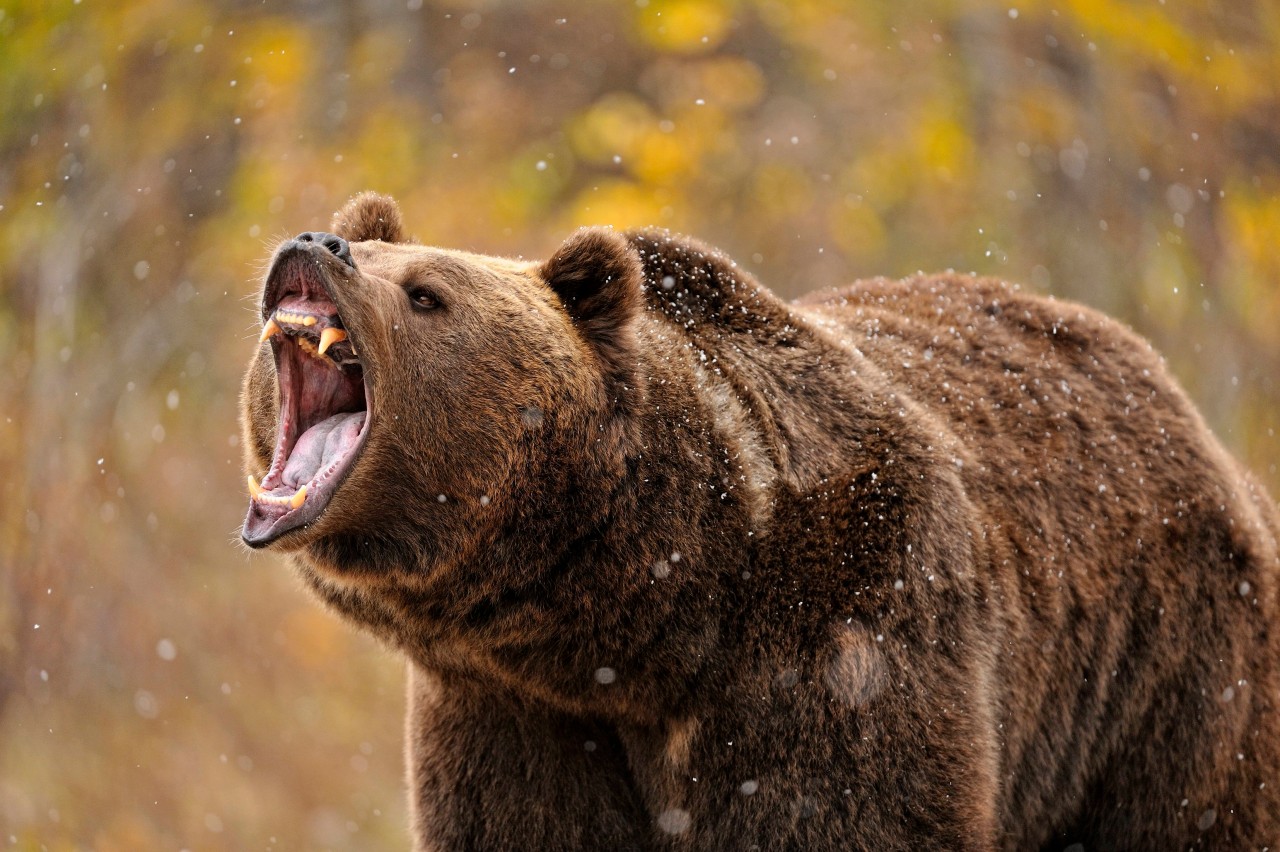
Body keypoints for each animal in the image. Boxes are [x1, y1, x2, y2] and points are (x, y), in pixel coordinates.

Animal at [241, 191, 1280, 849]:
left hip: (1171, 680)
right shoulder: (514, 713)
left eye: (427, 292)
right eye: (372, 247)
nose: (318, 243)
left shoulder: (845, 640)